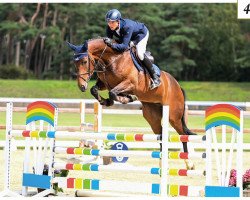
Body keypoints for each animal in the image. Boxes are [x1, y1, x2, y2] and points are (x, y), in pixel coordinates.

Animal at [67, 37, 196, 169]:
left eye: (84, 61)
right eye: (75, 63)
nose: (82, 86)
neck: (112, 59)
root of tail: (178, 85)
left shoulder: (130, 83)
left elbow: (113, 93)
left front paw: (126, 98)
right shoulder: (104, 84)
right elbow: (95, 90)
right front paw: (106, 101)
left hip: (173, 116)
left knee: (182, 135)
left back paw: (189, 163)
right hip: (153, 117)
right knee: (161, 134)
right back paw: (162, 164)